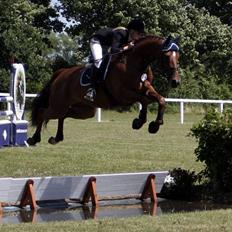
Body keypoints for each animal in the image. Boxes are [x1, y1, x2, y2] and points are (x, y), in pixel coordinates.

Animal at [26, 35, 179, 145]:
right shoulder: (122, 94)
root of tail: (61, 73)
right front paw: (140, 121)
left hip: (85, 110)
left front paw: (155, 125)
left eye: (178, 56)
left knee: (62, 115)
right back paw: (34, 139)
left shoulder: (146, 89)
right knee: (43, 113)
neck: (135, 64)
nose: (175, 82)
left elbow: (161, 100)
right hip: (58, 104)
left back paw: (57, 138)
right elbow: (143, 101)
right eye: (167, 56)